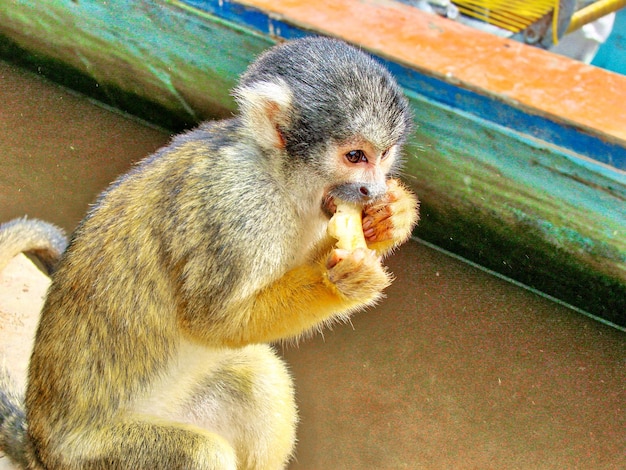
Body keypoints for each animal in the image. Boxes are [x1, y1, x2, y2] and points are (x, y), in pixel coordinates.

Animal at [1, 37, 420, 470]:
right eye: (355, 156)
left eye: (384, 155)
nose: (374, 190)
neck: (276, 175)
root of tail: (38, 443)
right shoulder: (236, 206)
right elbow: (216, 322)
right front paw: (339, 281)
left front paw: (392, 217)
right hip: (94, 455)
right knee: (201, 453)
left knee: (260, 382)